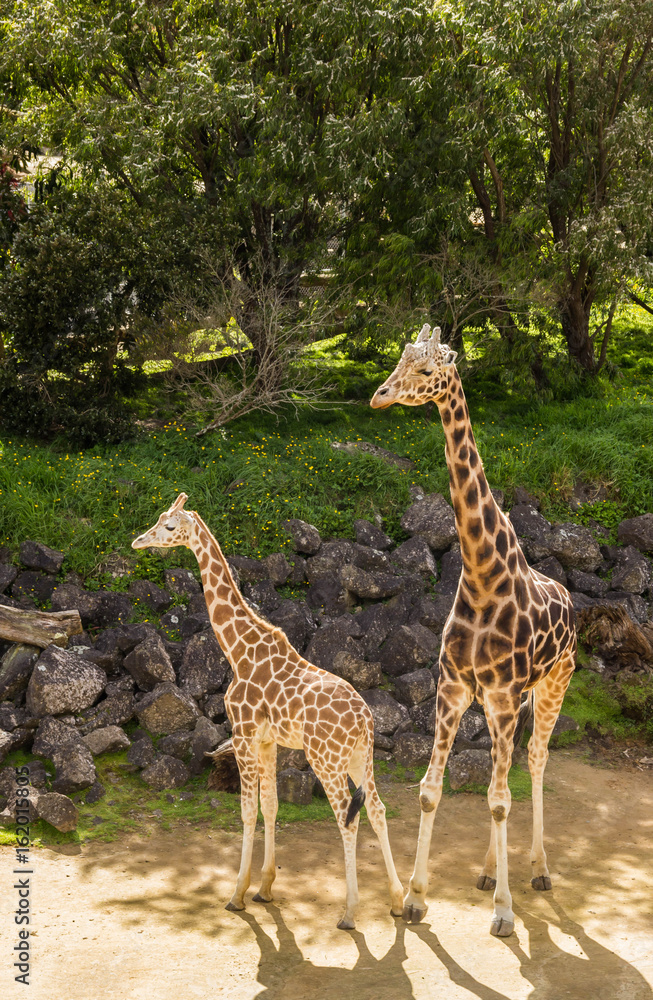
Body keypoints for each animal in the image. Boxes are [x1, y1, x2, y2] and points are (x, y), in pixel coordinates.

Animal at [132, 493, 404, 929]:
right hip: (360, 756)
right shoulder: (267, 740)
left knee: (347, 817)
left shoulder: (242, 733)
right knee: (377, 808)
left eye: (170, 527)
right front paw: (265, 888)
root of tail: (365, 720)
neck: (237, 650)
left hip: (325, 758)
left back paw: (349, 912)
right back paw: (398, 902)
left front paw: (237, 894)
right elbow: (272, 806)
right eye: (158, 519)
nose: (139, 541)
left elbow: (246, 811)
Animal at [370, 324, 576, 937]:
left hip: (553, 684)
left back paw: (537, 871)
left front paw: (505, 913)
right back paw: (487, 872)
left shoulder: (507, 694)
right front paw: (416, 898)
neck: (484, 574)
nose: (380, 396)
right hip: (497, 702)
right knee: (498, 773)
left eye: (426, 369)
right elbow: (431, 790)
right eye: (399, 359)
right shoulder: (455, 687)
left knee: (533, 762)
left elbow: (501, 798)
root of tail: (573, 600)